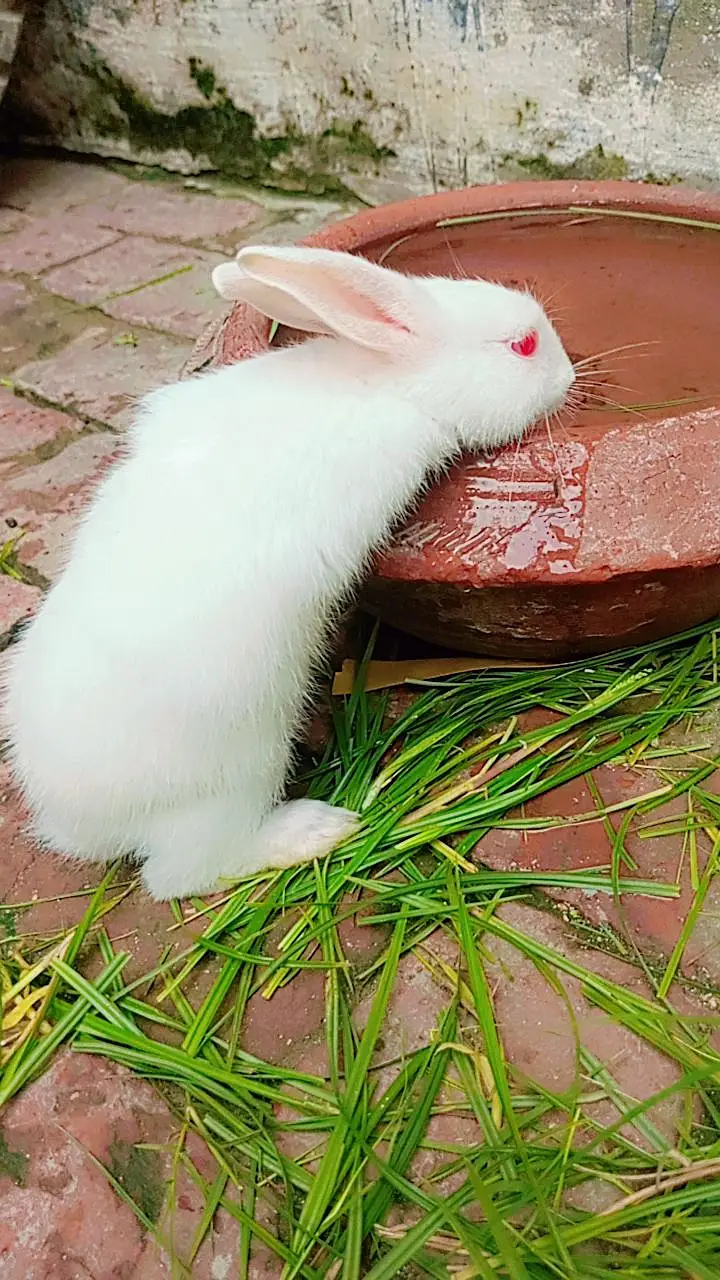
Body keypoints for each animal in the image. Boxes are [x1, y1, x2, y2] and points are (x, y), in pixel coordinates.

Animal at [3, 244, 575, 900]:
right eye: (524, 346)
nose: (569, 376)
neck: (383, 376)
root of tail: (73, 821)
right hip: (235, 774)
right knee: (183, 873)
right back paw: (316, 830)